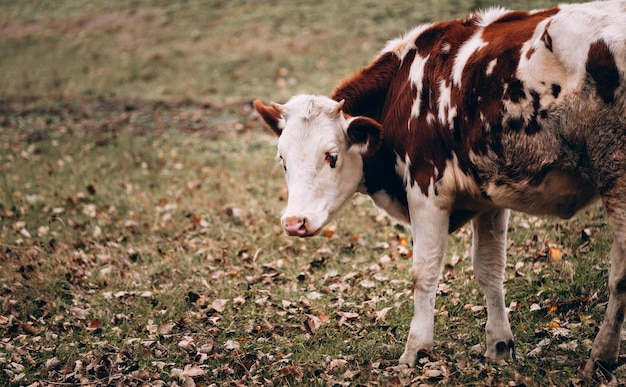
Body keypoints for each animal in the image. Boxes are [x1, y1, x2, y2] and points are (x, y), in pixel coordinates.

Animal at [252, 0, 624, 376]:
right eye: (283, 160)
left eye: (331, 156)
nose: (293, 222)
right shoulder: (489, 197)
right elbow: (490, 269)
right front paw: (499, 346)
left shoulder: (426, 189)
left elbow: (424, 272)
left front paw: (416, 350)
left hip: (616, 176)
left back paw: (601, 356)